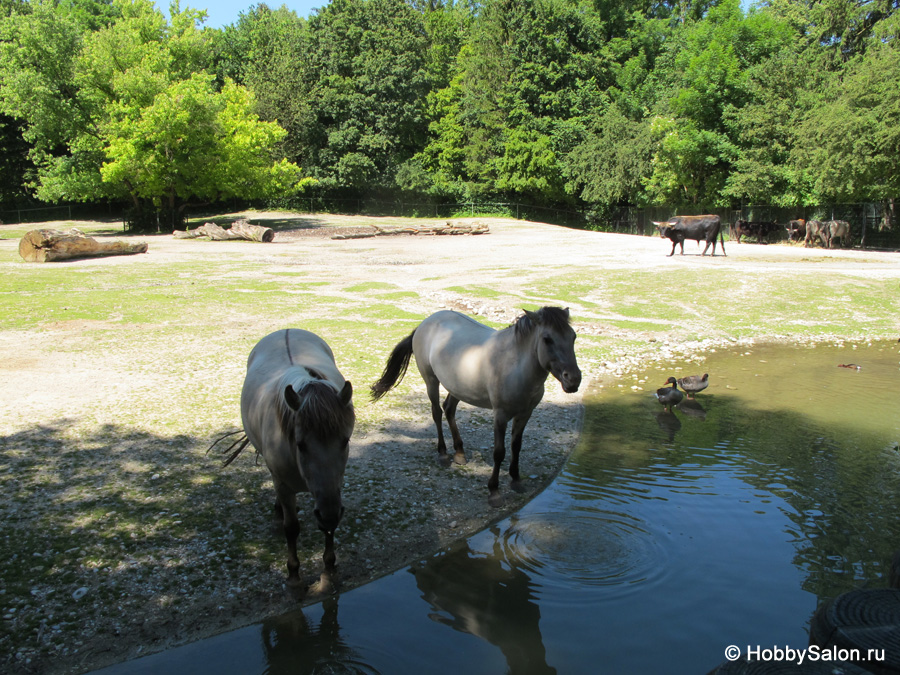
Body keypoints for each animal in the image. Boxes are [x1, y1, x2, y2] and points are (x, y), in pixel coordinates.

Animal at [370, 306, 580, 502]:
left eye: (573, 337)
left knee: (449, 410)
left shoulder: (525, 414)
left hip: (457, 387)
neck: (515, 364)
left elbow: (516, 447)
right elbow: (499, 452)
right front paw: (494, 491)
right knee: (437, 413)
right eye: (547, 339)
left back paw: (460, 453)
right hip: (431, 381)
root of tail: (425, 323)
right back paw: (443, 454)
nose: (574, 379)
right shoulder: (500, 415)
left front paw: (516, 480)